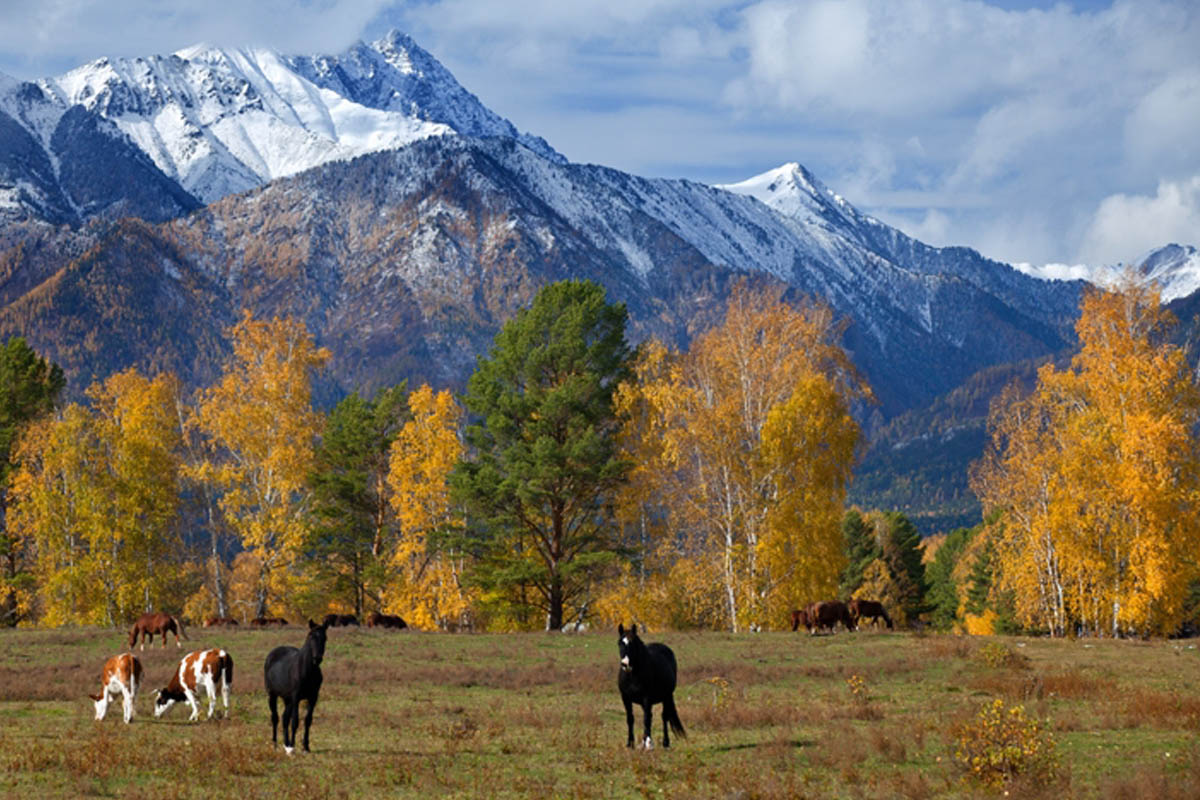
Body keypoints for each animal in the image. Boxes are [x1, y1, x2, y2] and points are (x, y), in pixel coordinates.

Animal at [264, 618, 328, 758]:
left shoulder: (313, 697)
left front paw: (305, 747)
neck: (307, 670)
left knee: (284, 718)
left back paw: (286, 744)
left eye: (325, 638)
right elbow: (295, 721)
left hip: (288, 699)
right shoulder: (296, 697)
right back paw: (275, 744)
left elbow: (307, 720)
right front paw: (293, 746)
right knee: (275, 718)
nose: (317, 659)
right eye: (311, 637)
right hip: (273, 695)